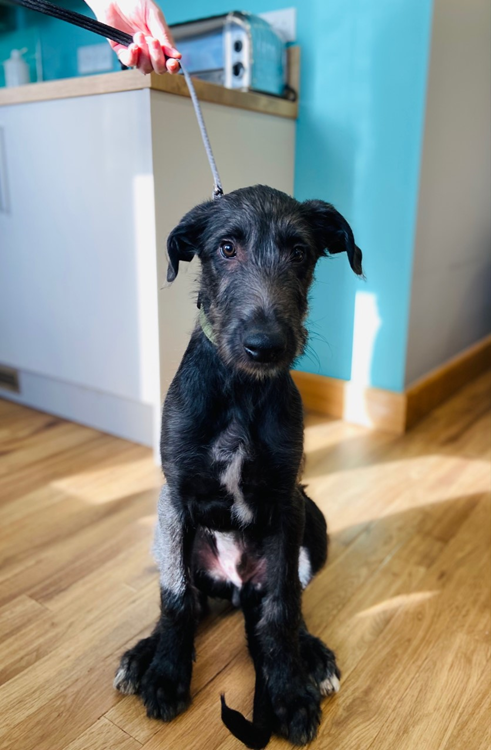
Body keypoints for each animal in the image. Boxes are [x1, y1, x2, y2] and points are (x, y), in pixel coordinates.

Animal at [113, 185, 364, 748]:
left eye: (300, 253)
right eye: (226, 249)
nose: (265, 346)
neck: (240, 389)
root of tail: (233, 585)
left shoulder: (286, 501)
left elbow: (281, 609)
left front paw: (289, 690)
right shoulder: (176, 497)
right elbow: (176, 599)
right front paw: (166, 673)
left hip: (312, 518)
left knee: (282, 599)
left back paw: (311, 655)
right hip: (164, 531)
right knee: (188, 595)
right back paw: (145, 654)